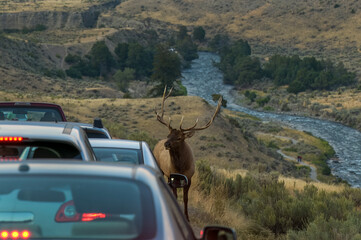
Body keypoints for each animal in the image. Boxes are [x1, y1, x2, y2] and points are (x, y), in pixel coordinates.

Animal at [153, 86, 222, 221]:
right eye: (168, 135)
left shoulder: (189, 178)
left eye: (179, 138)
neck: (181, 166)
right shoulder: (173, 176)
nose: (166, 144)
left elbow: (186, 199)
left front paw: (187, 217)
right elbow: (175, 196)